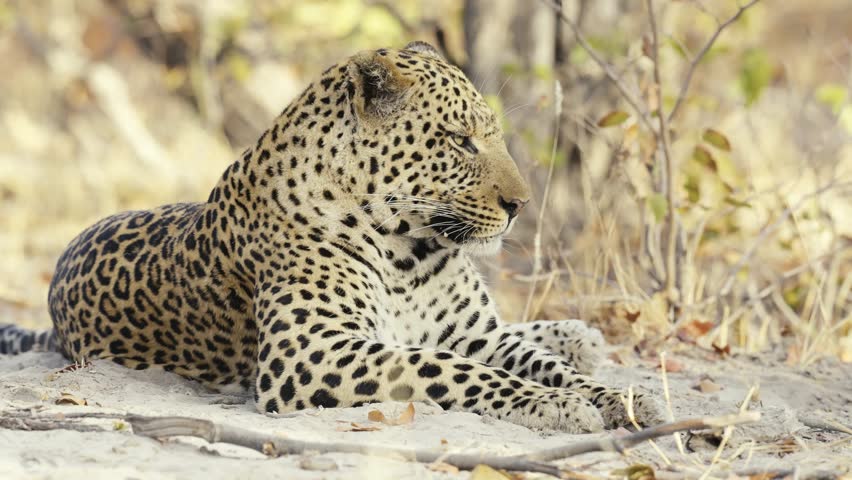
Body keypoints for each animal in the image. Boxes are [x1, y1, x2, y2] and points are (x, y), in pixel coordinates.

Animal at [0, 41, 660, 433]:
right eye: (460, 140)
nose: (520, 206)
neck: (408, 252)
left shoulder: (472, 333)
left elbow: (536, 363)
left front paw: (620, 400)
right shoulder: (311, 352)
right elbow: (445, 367)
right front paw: (556, 407)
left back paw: (577, 334)